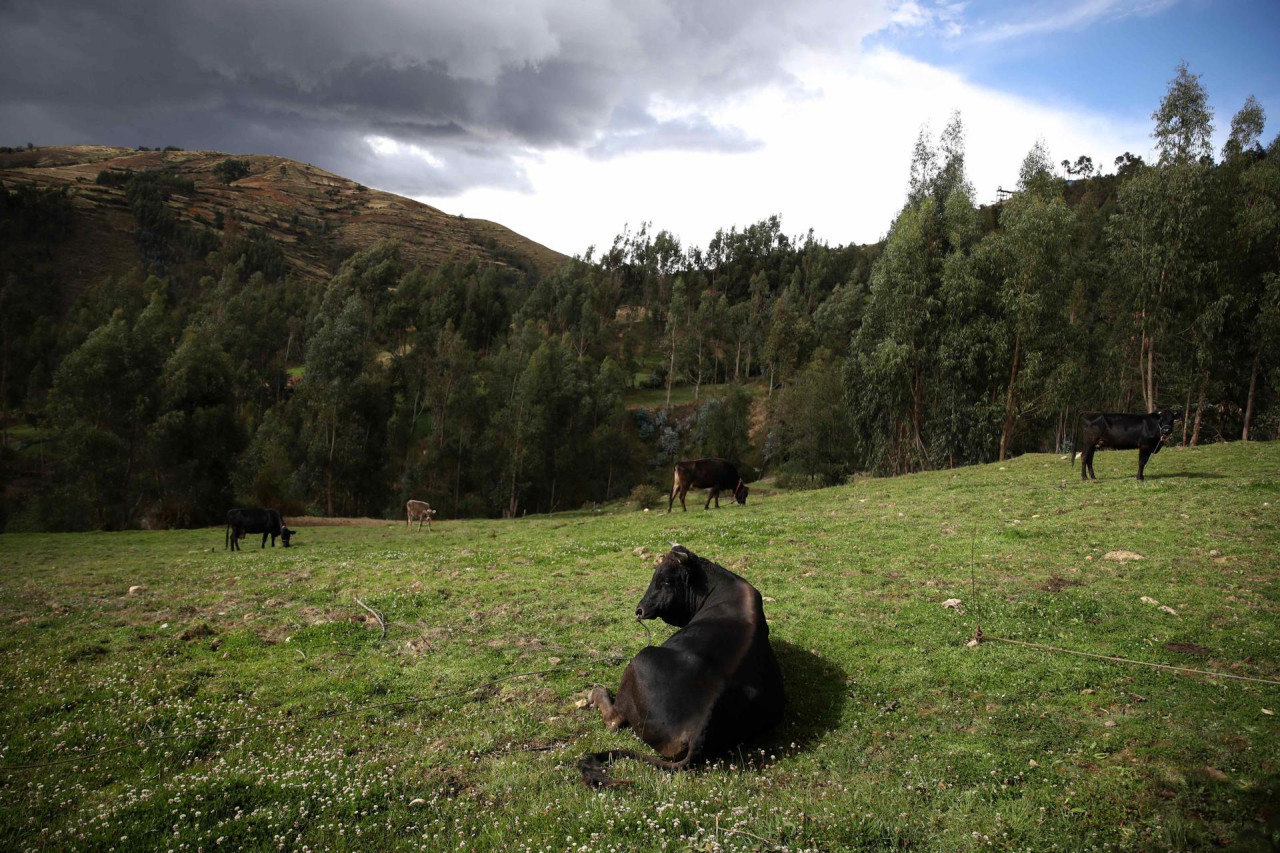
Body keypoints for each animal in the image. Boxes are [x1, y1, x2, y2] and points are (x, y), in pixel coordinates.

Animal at [578, 545, 778, 783]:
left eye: (665, 581)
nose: (639, 610)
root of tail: (696, 727)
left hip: (640, 661)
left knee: (614, 720)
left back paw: (597, 692)